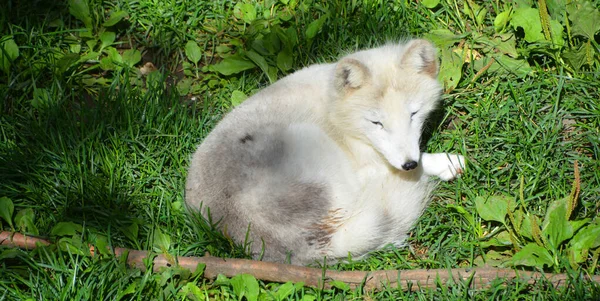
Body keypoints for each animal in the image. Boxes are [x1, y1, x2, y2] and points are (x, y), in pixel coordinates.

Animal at [185, 38, 466, 264]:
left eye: (413, 114)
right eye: (376, 123)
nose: (408, 164)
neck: (334, 106)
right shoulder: (366, 156)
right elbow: (397, 165)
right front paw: (444, 162)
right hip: (313, 146)